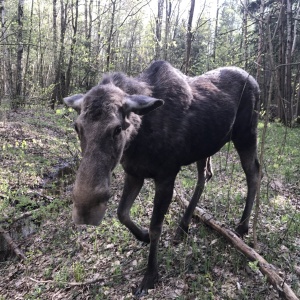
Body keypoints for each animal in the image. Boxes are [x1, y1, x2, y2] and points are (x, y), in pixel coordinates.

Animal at [63, 60, 260, 296]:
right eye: (77, 127)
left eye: (117, 128)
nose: (85, 211)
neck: (138, 139)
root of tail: (256, 82)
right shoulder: (134, 173)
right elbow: (122, 213)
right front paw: (143, 236)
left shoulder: (166, 176)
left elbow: (156, 226)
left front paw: (150, 275)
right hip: (205, 147)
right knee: (205, 176)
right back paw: (183, 226)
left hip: (246, 134)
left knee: (254, 173)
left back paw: (242, 226)